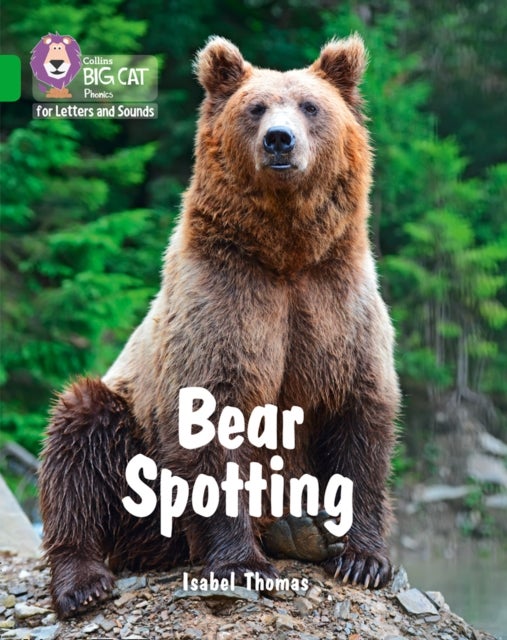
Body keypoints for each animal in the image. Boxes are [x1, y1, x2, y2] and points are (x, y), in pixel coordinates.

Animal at [39, 34, 400, 618]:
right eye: (255, 108)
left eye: (310, 106)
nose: (279, 140)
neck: (285, 255)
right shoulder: (223, 302)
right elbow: (212, 420)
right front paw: (242, 564)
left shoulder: (336, 305)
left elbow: (360, 418)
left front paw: (363, 559)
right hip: (129, 439)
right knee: (78, 441)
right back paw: (83, 581)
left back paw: (298, 530)